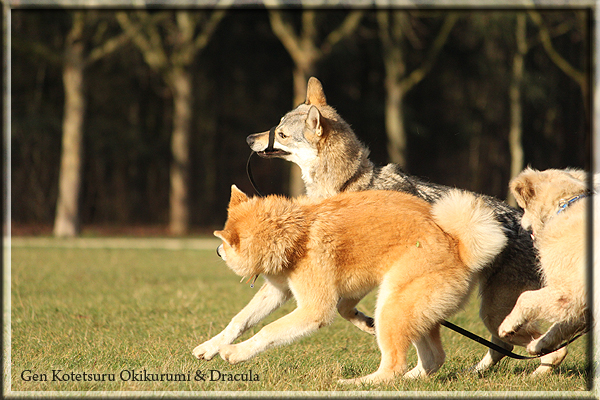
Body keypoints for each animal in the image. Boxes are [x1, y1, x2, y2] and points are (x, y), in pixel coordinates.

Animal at [193, 186, 506, 382]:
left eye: (225, 245)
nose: (217, 251)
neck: (296, 233)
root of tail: (459, 244)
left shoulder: (315, 309)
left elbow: (268, 331)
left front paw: (236, 353)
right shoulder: (279, 290)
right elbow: (239, 321)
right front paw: (211, 346)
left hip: (393, 306)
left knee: (395, 365)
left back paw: (358, 383)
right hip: (410, 310)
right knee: (433, 359)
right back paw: (409, 379)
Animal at [245, 76, 568, 374]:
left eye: (282, 134)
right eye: (277, 126)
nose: (249, 138)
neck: (350, 183)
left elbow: (342, 306)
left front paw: (367, 324)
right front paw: (367, 323)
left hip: (496, 313)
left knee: (545, 348)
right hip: (493, 316)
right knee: (505, 346)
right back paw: (467, 373)